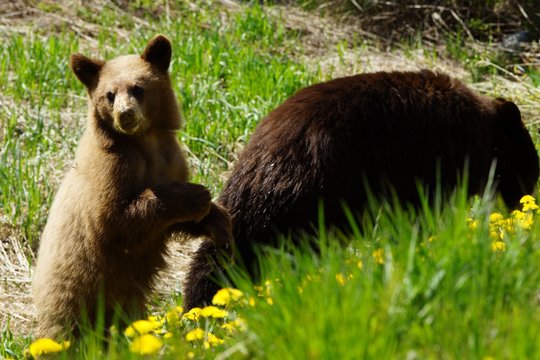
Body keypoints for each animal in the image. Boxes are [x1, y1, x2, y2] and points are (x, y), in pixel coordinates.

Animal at [182, 70, 540, 310]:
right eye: (531, 170)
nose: (525, 205)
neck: (478, 132)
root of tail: (264, 149)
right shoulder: (425, 165)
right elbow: (419, 215)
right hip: (317, 192)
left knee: (233, 241)